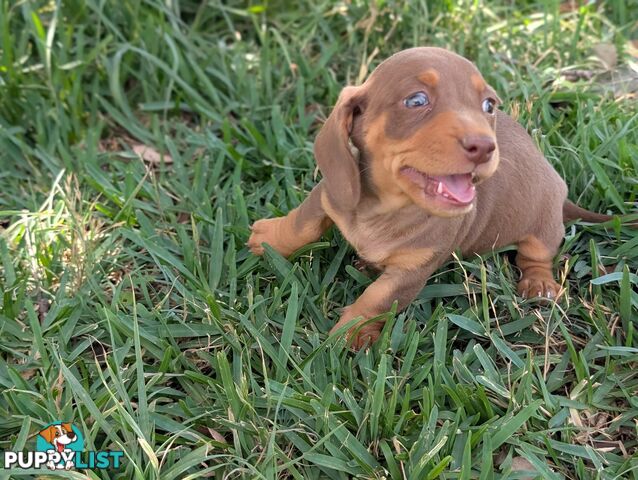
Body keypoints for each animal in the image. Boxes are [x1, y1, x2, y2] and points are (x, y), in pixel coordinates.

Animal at [251, 47, 624, 348]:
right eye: (416, 100)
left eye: (488, 105)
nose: (485, 147)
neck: (387, 208)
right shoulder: (331, 194)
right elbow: (303, 224)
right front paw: (269, 239)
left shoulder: (411, 271)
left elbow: (377, 298)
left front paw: (350, 332)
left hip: (542, 226)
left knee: (537, 254)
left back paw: (539, 282)